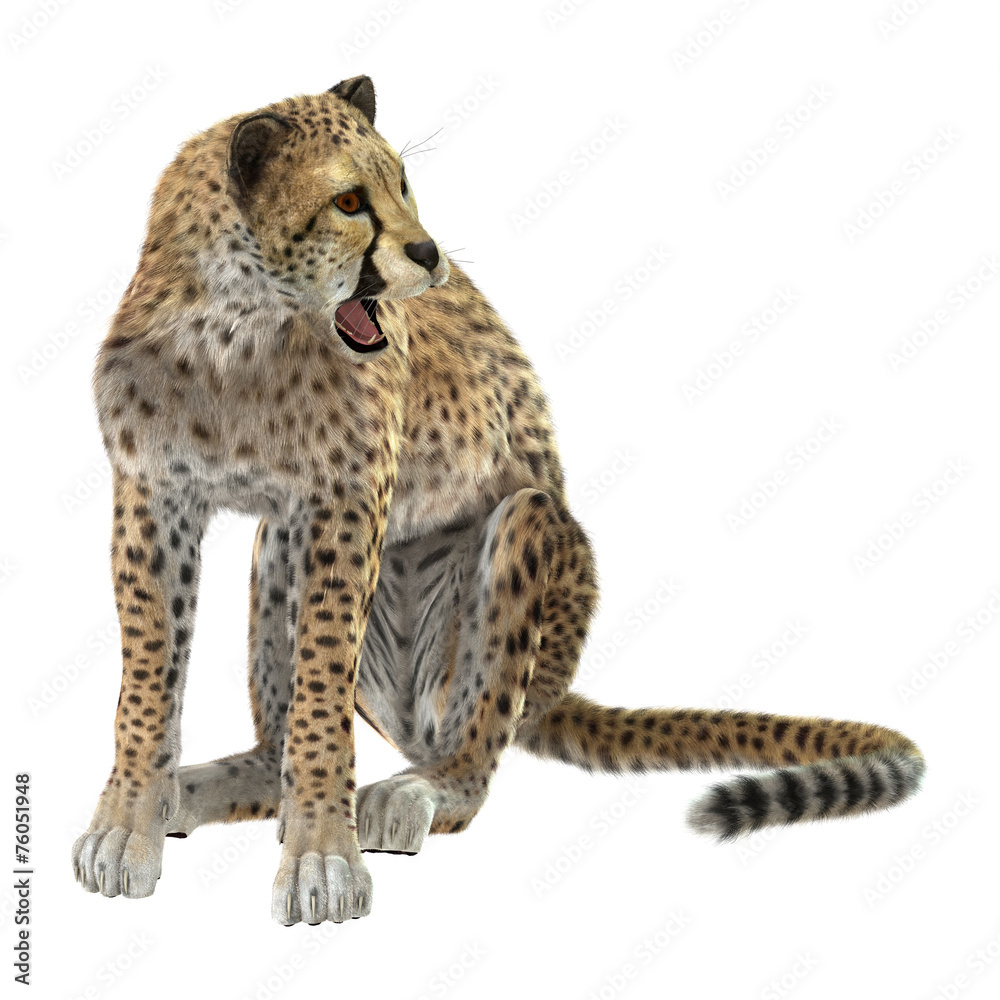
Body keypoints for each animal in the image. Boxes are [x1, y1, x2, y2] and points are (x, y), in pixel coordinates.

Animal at [72, 76, 925, 925]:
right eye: (349, 201)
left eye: (404, 185)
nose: (427, 253)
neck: (237, 329)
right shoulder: (155, 496)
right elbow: (150, 672)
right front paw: (126, 823)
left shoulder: (346, 501)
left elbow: (320, 689)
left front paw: (321, 855)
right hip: (282, 544)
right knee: (278, 739)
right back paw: (213, 786)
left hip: (519, 535)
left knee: (476, 752)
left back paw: (417, 793)